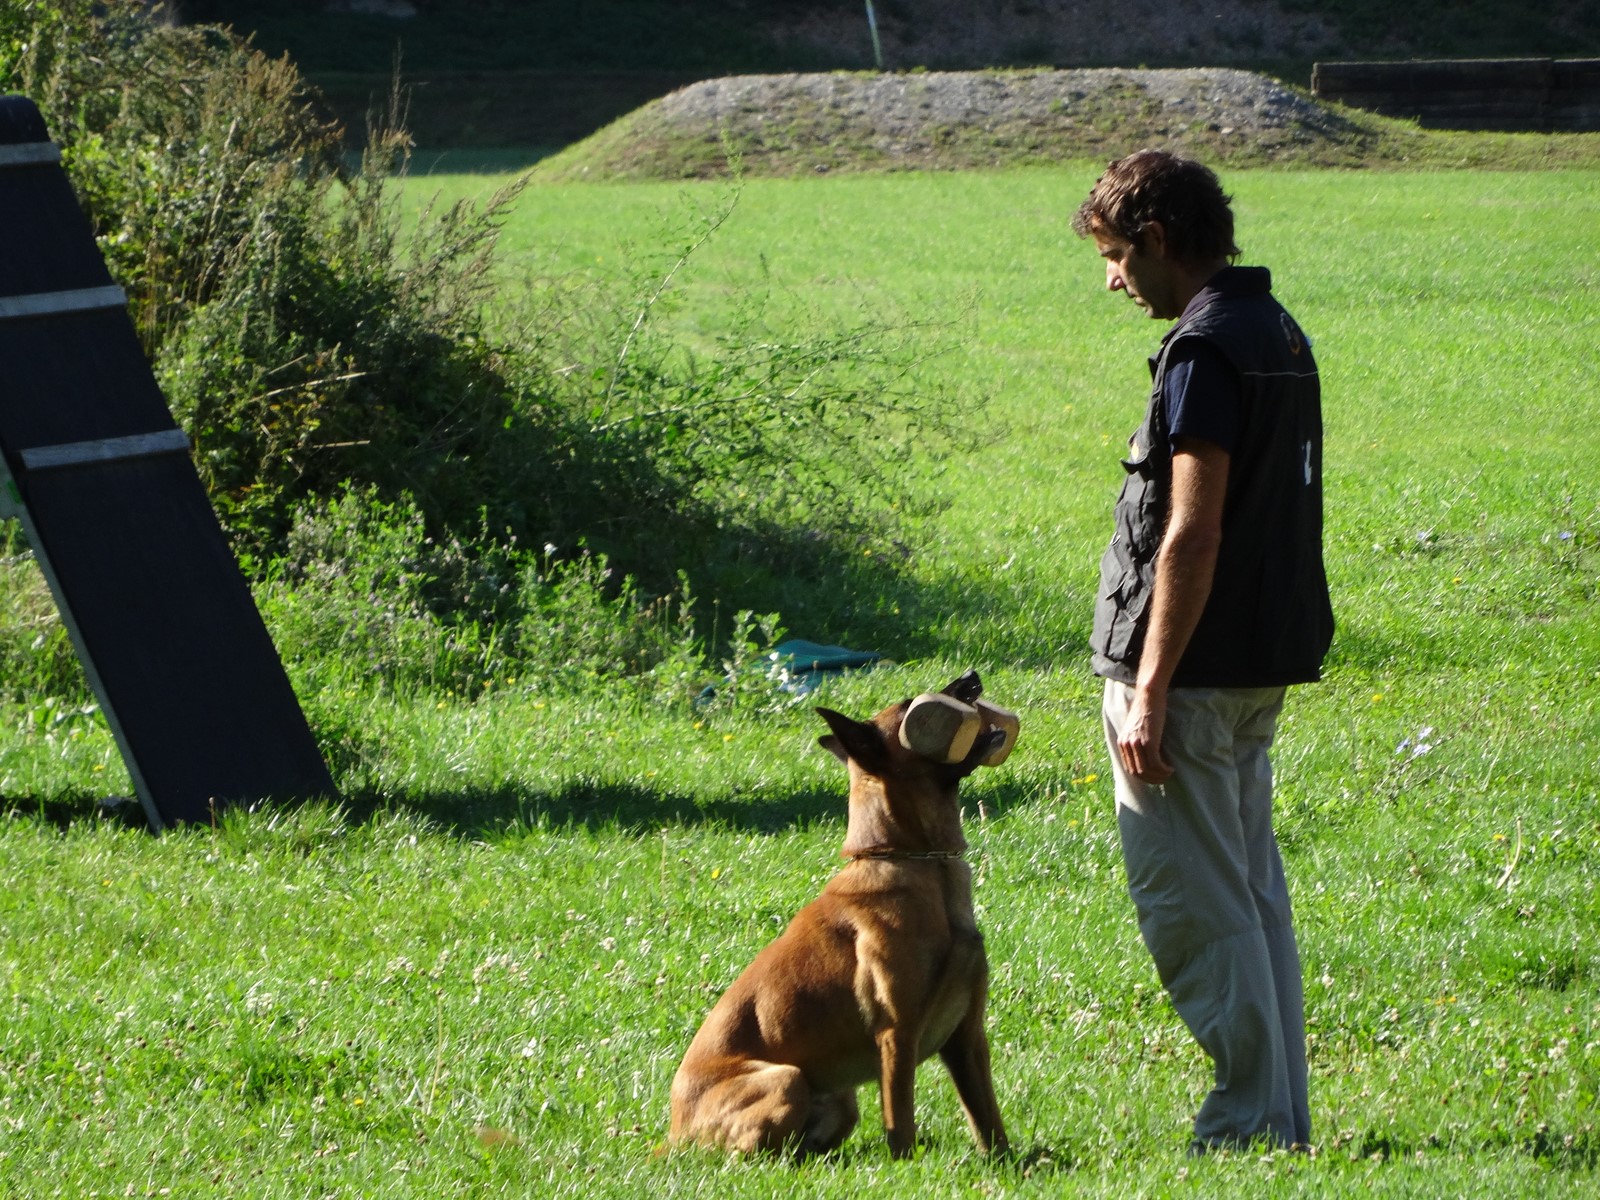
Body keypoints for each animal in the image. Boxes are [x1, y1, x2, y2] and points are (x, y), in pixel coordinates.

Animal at [668, 670, 1012, 1159]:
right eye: (908, 704)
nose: (971, 676)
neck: (917, 861)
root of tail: (673, 1135)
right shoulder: (897, 1033)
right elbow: (900, 1119)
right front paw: (906, 1165)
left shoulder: (967, 1036)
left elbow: (987, 1117)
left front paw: (1010, 1162)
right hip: (786, 1080)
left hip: (840, 1101)